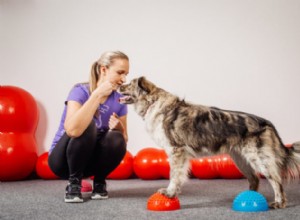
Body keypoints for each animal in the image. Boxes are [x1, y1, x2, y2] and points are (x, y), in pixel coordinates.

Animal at [118, 77, 298, 208]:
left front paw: (169, 193)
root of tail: (266, 123)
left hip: (259, 158)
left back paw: (279, 203)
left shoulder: (176, 151)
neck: (153, 102)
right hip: (241, 159)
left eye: (129, 84)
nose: (119, 86)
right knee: (254, 179)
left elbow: (174, 176)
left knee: (276, 181)